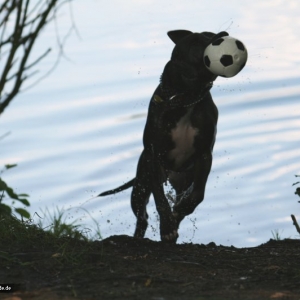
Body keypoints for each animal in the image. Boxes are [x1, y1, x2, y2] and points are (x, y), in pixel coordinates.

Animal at [99, 29, 229, 243]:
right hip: (141, 184)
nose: (223, 33)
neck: (186, 101)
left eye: (209, 34)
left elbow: (197, 195)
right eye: (198, 43)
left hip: (182, 179)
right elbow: (160, 200)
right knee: (142, 216)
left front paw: (180, 212)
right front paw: (167, 225)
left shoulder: (204, 155)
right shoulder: (154, 157)